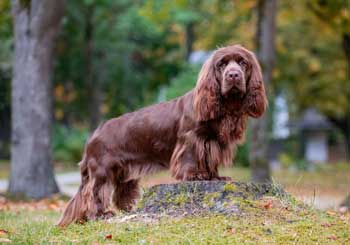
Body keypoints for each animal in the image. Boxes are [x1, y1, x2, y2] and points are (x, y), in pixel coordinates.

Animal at [58, 44, 266, 226]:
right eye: (221, 64)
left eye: (243, 62)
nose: (233, 75)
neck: (226, 107)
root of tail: (93, 135)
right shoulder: (191, 139)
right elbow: (191, 158)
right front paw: (195, 175)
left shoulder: (212, 142)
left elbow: (210, 162)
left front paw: (215, 177)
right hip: (102, 170)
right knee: (93, 193)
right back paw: (100, 214)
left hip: (124, 173)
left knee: (118, 193)